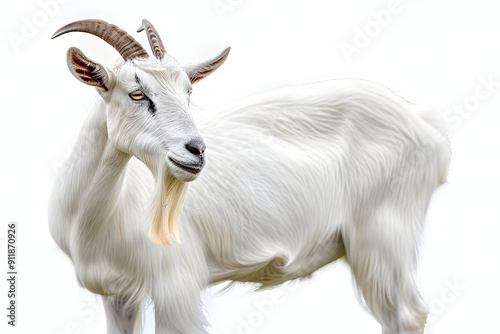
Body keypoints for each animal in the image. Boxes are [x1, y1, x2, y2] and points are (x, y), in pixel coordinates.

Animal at [49, 18, 450, 334]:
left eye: (188, 92)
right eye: (136, 93)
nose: (197, 150)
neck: (96, 218)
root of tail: (423, 125)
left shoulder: (175, 285)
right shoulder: (119, 295)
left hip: (382, 233)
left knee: (408, 315)